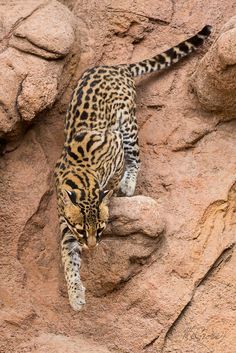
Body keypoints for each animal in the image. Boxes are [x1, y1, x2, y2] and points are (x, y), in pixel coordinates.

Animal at [54, 24, 212, 310]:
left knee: (136, 156)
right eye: (82, 230)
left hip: (127, 122)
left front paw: (113, 191)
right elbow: (68, 257)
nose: (92, 247)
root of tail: (116, 68)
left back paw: (128, 184)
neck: (83, 178)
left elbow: (115, 177)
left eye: (101, 228)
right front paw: (75, 293)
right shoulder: (65, 219)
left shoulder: (115, 145)